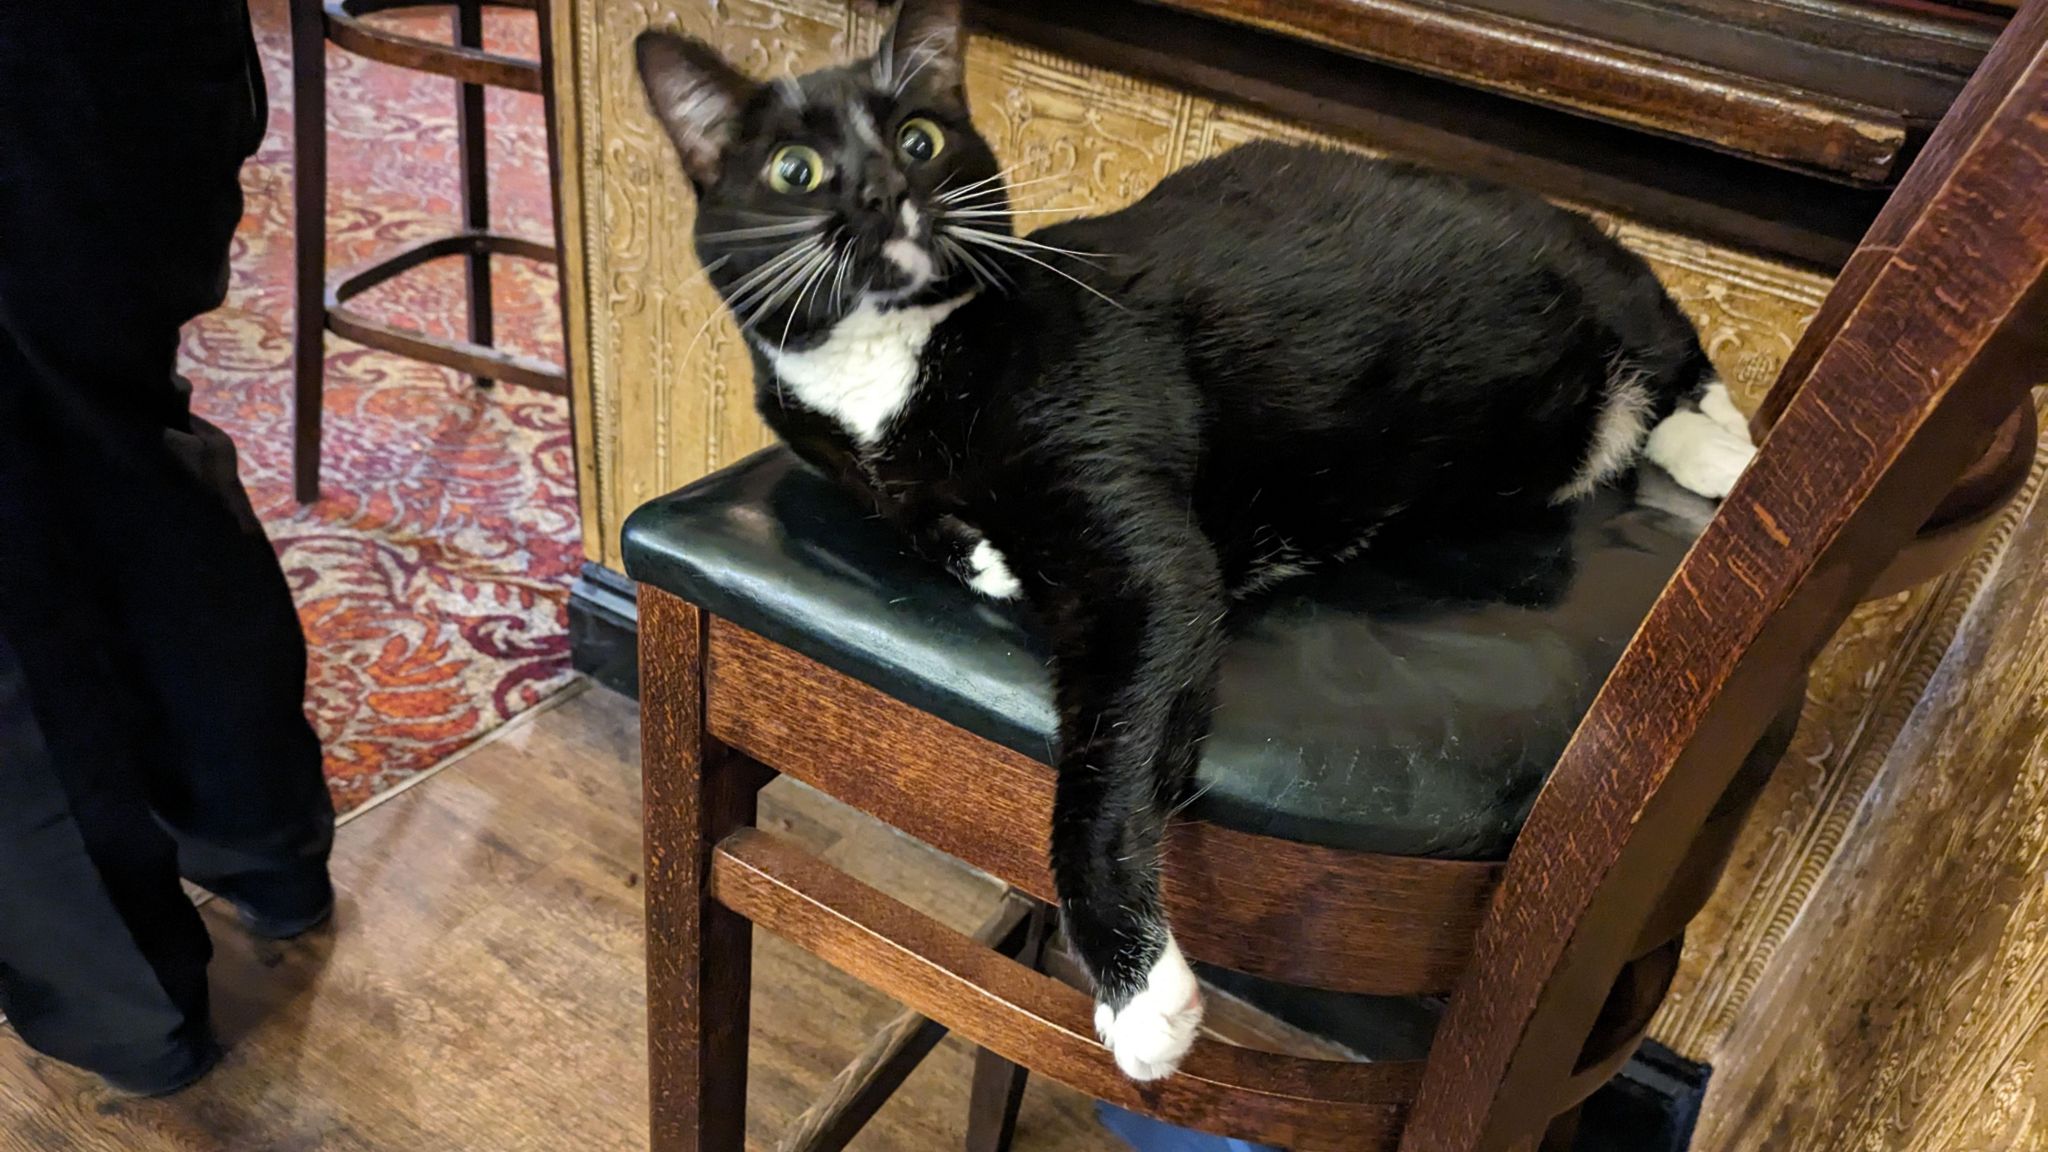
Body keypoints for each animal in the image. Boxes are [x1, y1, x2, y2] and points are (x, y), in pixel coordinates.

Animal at [630, 0, 1753, 1074]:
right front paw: (968, 548)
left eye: (917, 137)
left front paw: (1135, 988)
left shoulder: (1135, 548)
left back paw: (1719, 448)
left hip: (1596, 287)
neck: (892, 368)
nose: (881, 189)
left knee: (1669, 342)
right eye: (797, 168)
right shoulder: (835, 448)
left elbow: (1103, 752)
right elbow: (893, 507)